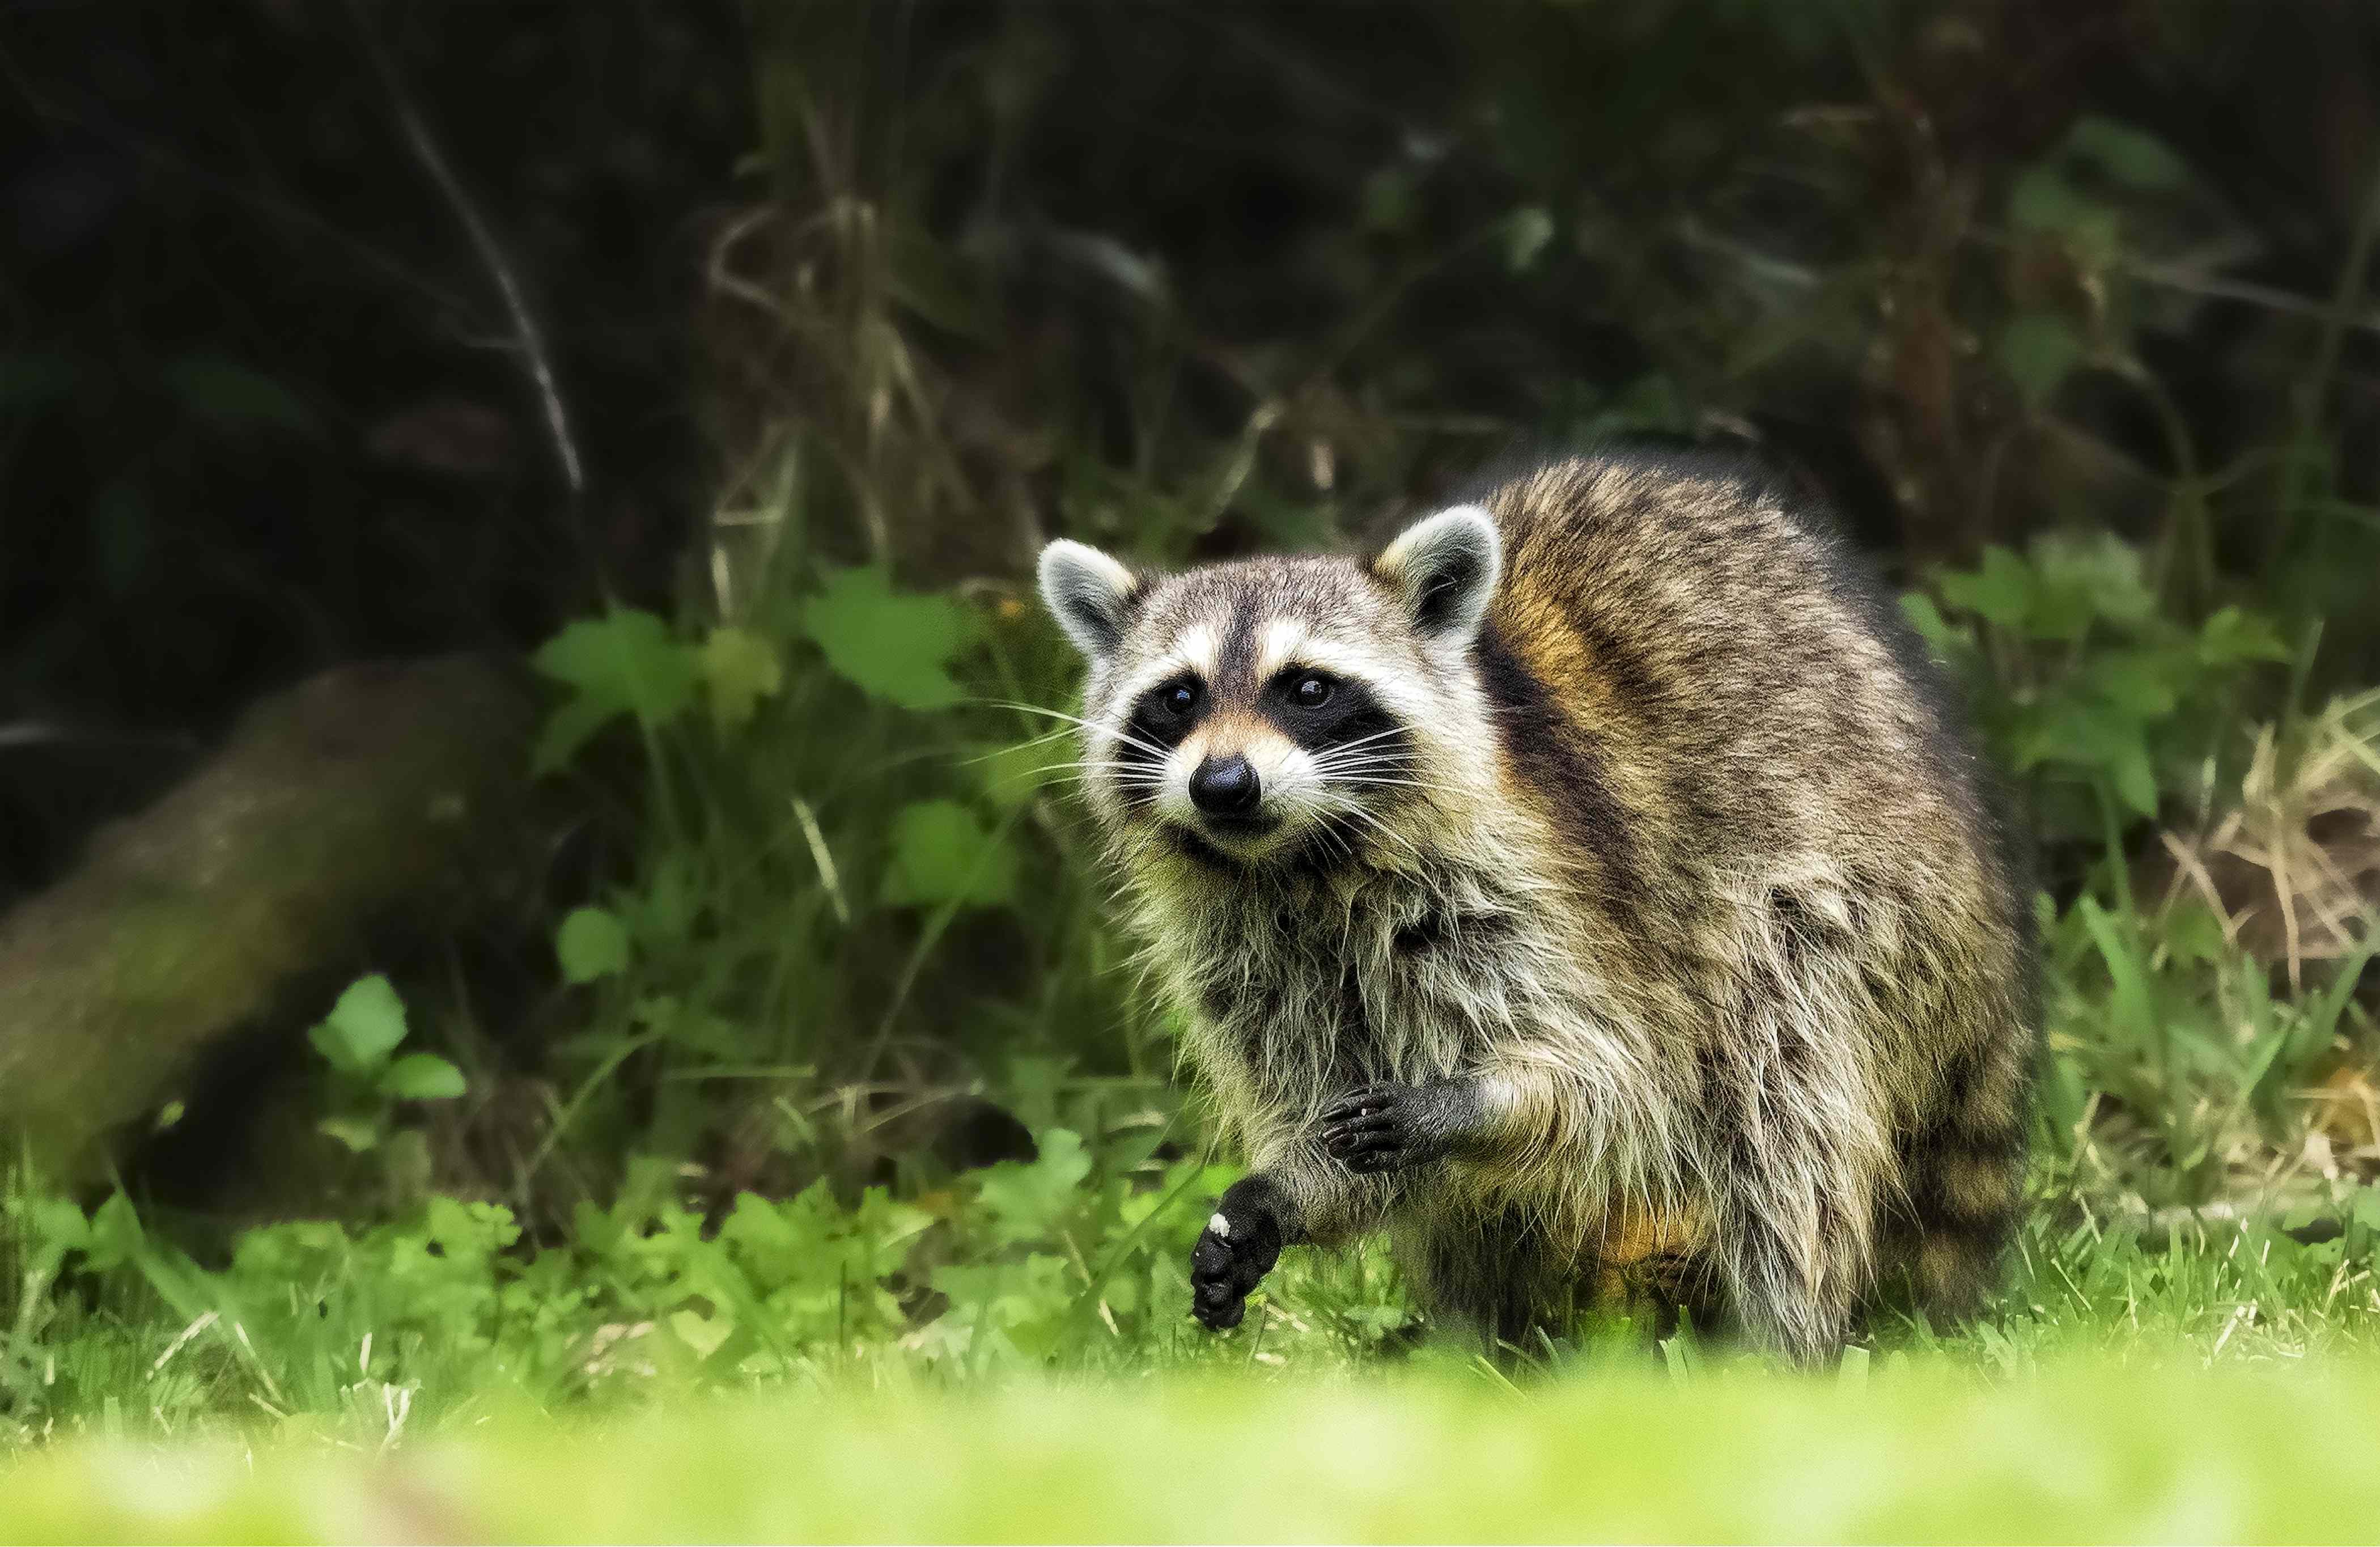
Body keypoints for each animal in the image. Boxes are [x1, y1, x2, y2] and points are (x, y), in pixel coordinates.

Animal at [1036, 449, 2035, 1361]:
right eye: (1178, 697)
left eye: (1307, 687)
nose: (1222, 785)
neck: (1298, 864)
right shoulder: (1247, 956)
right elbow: (1340, 1132)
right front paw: (1282, 1190)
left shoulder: (1557, 886)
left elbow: (1624, 1084)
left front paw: (1480, 1102)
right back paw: (1484, 1347)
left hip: (1862, 905)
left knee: (1783, 1088)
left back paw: (1781, 1346)